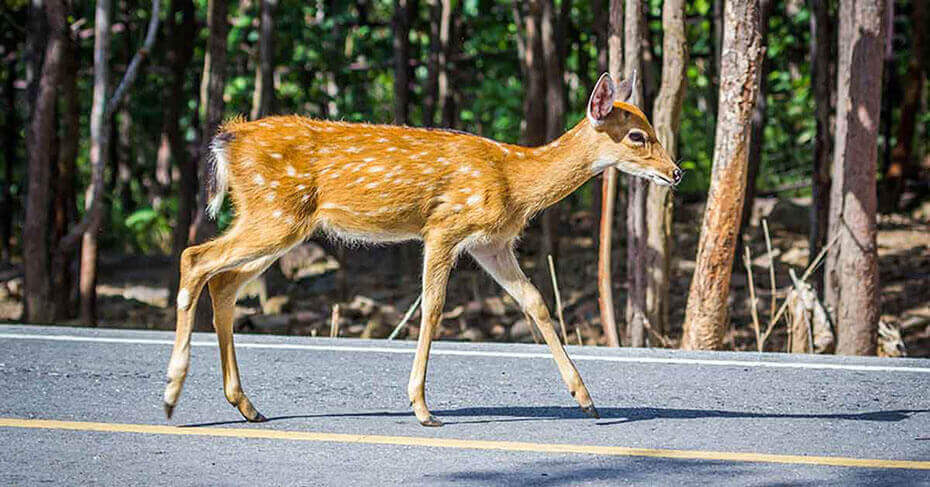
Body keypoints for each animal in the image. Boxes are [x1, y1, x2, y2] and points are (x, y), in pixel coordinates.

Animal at [163, 72, 682, 427]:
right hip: (275, 214)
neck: (515, 180)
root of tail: (227, 138)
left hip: (279, 221)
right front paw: (422, 407)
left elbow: (535, 301)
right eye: (637, 135)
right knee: (195, 259)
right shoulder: (444, 227)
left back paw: (246, 405)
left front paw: (586, 398)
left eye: (651, 127)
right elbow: (432, 307)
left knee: (224, 282)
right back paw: (171, 394)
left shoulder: (492, 242)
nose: (676, 172)